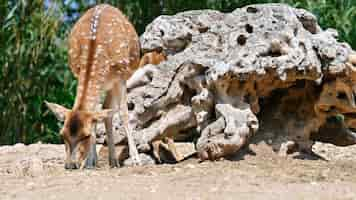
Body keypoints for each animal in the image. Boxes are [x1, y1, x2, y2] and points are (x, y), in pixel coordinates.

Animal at [46, 4, 142, 169]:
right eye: (62, 135)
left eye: (86, 135)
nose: (70, 165)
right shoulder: (78, 73)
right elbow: (96, 113)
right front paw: (90, 161)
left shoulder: (121, 77)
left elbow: (123, 113)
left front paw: (136, 159)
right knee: (103, 109)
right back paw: (109, 160)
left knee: (108, 109)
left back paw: (114, 160)